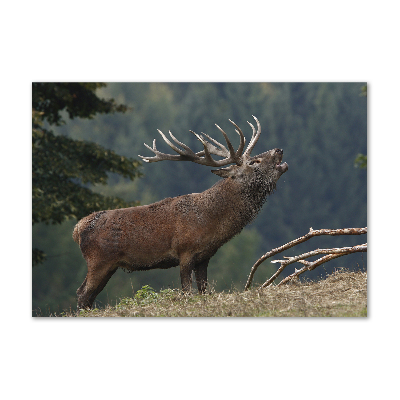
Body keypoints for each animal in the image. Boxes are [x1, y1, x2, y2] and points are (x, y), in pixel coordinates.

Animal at [72, 115, 288, 310]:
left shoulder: (204, 256)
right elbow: (186, 291)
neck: (212, 223)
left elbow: (203, 291)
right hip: (98, 260)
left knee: (88, 296)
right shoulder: (185, 251)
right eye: (254, 162)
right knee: (82, 294)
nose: (279, 150)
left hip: (110, 265)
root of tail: (77, 229)